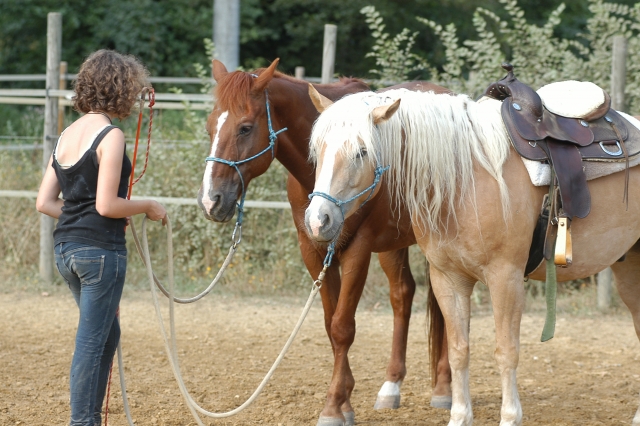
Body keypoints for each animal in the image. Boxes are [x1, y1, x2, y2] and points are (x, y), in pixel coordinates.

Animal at [196, 59, 453, 426]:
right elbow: (331, 327)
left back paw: (444, 389)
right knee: (402, 295)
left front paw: (333, 406)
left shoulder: (358, 248)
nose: (210, 200)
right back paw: (390, 387)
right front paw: (344, 401)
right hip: (393, 245)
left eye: (245, 128)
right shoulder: (313, 249)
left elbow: (344, 327)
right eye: (209, 127)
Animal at [304, 86, 640, 425]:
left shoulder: (505, 278)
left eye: (362, 151)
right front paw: (459, 415)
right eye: (318, 150)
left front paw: (510, 417)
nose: (319, 220)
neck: (465, 179)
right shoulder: (448, 280)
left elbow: (506, 351)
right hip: (628, 271)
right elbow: (458, 351)